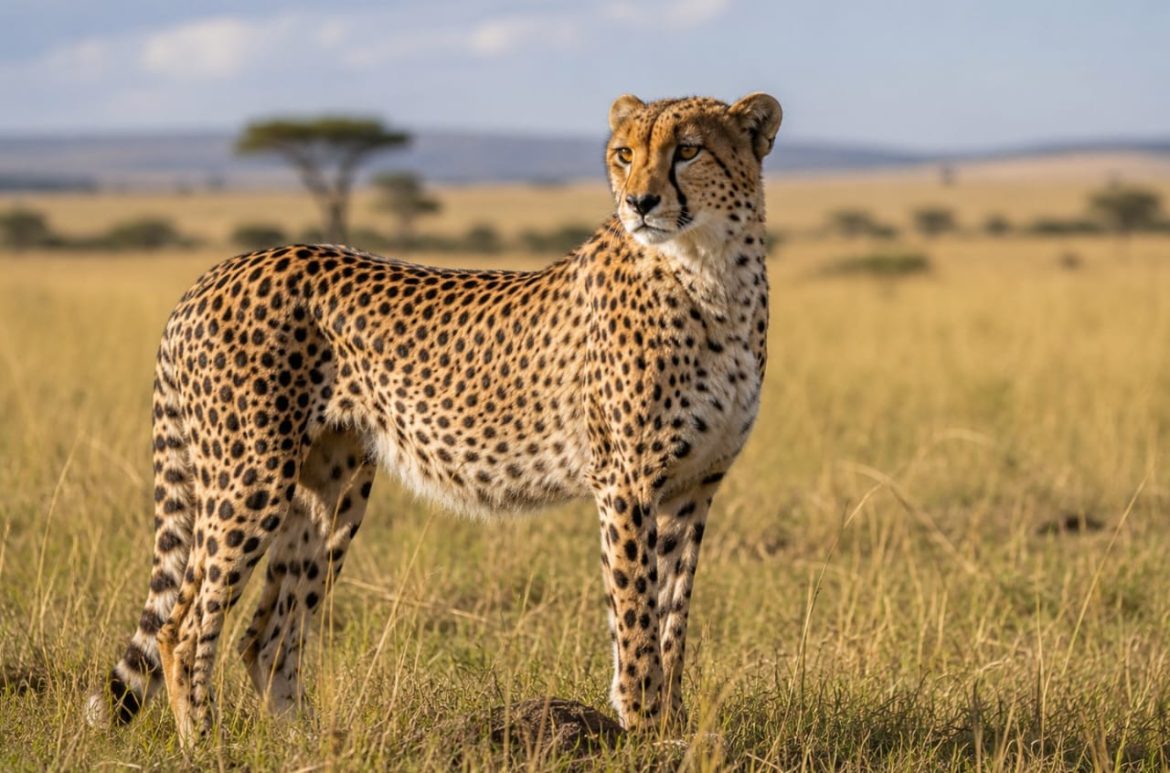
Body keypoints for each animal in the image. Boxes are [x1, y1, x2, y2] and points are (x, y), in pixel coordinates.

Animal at [87, 91, 782, 744]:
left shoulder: (693, 487)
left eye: (687, 151)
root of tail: (214, 274)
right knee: (183, 626)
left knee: (267, 633)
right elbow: (634, 612)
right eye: (624, 154)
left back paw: (306, 742)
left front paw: (674, 724)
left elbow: (672, 618)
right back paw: (206, 743)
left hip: (332, 489)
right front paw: (643, 728)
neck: (712, 272)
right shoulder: (626, 482)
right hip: (249, 476)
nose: (639, 202)